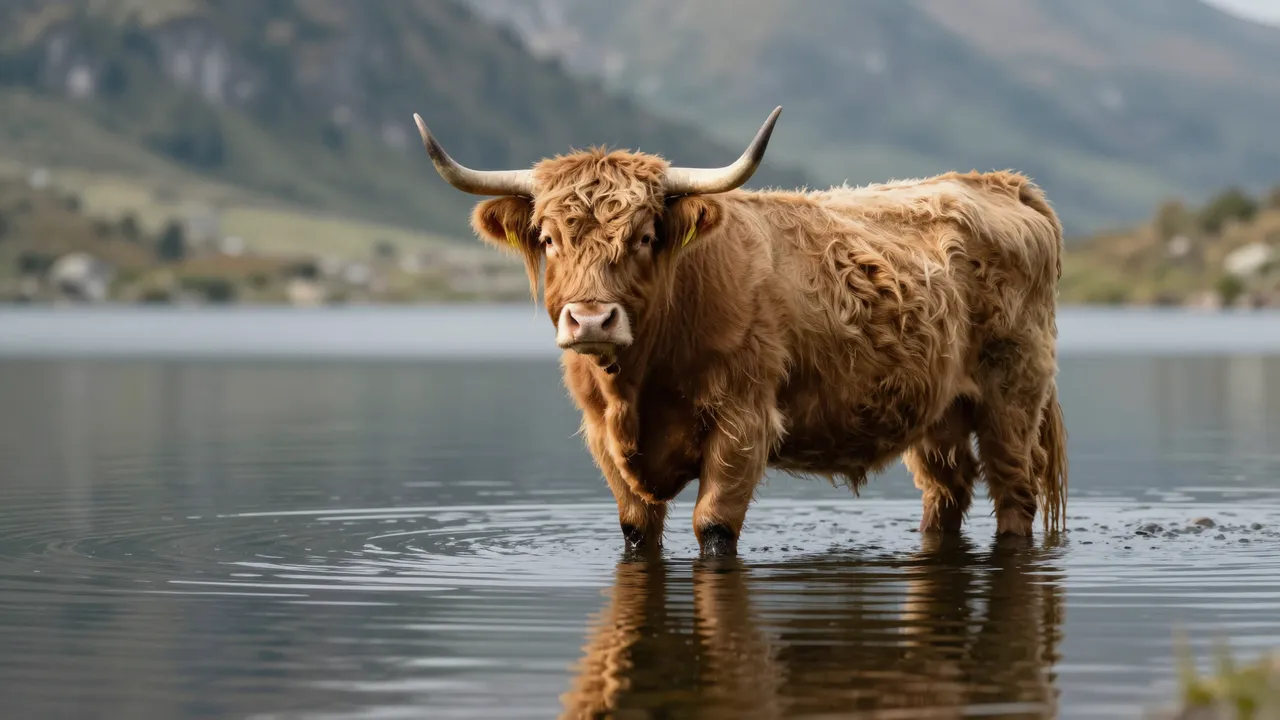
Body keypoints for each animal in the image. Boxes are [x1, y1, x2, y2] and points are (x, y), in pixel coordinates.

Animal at [412, 106, 1067, 557]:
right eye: (548, 239)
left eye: (644, 236)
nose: (592, 319)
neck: (640, 386)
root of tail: (999, 182)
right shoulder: (603, 438)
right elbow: (636, 530)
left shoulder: (743, 421)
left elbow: (714, 527)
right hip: (938, 415)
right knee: (947, 491)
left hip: (1012, 397)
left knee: (1013, 492)